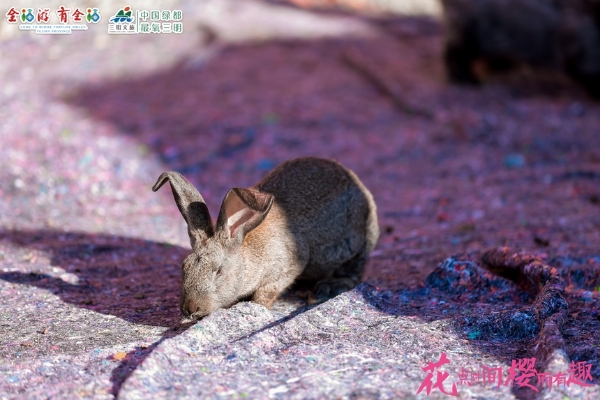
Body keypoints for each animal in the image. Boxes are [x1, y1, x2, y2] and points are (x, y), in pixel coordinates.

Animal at [155, 156, 380, 318]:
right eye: (184, 267)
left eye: (218, 271)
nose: (190, 309)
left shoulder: (287, 268)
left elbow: (267, 292)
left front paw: (254, 305)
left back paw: (323, 291)